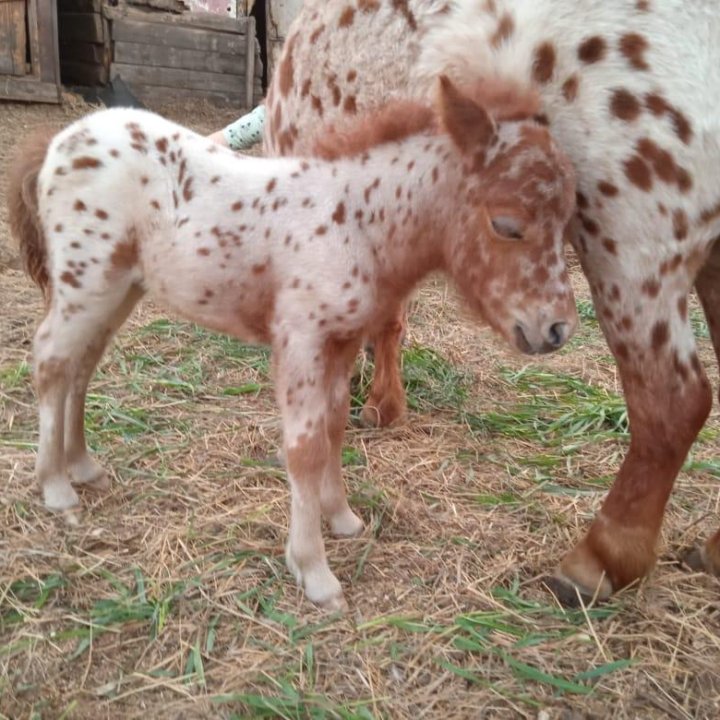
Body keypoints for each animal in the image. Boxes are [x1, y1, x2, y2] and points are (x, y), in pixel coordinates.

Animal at [7, 77, 580, 608]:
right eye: (506, 224)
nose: (556, 329)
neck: (357, 221)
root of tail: (62, 140)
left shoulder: (342, 343)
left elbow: (334, 427)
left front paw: (342, 518)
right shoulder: (302, 340)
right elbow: (304, 449)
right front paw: (313, 570)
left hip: (119, 290)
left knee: (81, 367)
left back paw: (83, 466)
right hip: (85, 283)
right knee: (51, 362)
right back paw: (55, 487)